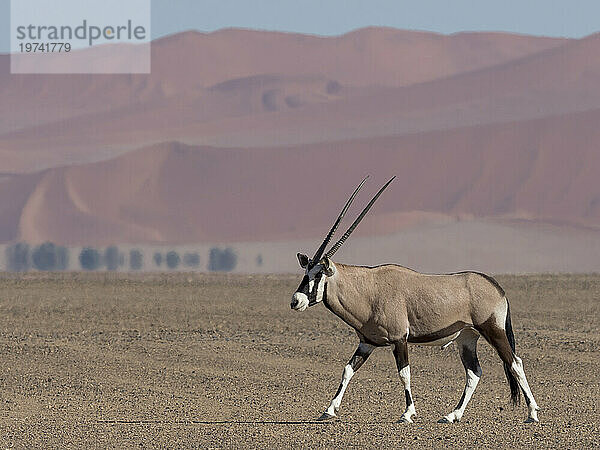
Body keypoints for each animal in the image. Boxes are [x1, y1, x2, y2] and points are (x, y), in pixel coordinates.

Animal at [290, 178, 540, 424]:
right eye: (306, 272)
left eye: (318, 274)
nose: (295, 301)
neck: (369, 290)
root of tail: (497, 287)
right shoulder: (367, 342)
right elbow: (348, 370)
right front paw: (329, 410)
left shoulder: (400, 339)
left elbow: (404, 374)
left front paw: (408, 413)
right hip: (467, 338)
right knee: (474, 372)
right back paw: (452, 415)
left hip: (493, 330)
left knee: (515, 363)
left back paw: (532, 413)